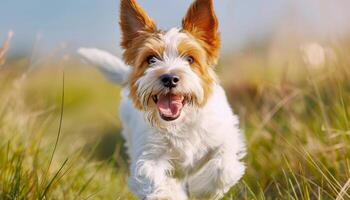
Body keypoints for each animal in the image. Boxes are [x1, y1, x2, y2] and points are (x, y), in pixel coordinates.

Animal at [78, 0, 246, 198]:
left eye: (190, 59)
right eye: (151, 59)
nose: (170, 78)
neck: (180, 122)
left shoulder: (225, 136)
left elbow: (224, 166)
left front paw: (203, 189)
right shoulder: (149, 156)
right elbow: (154, 180)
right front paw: (171, 193)